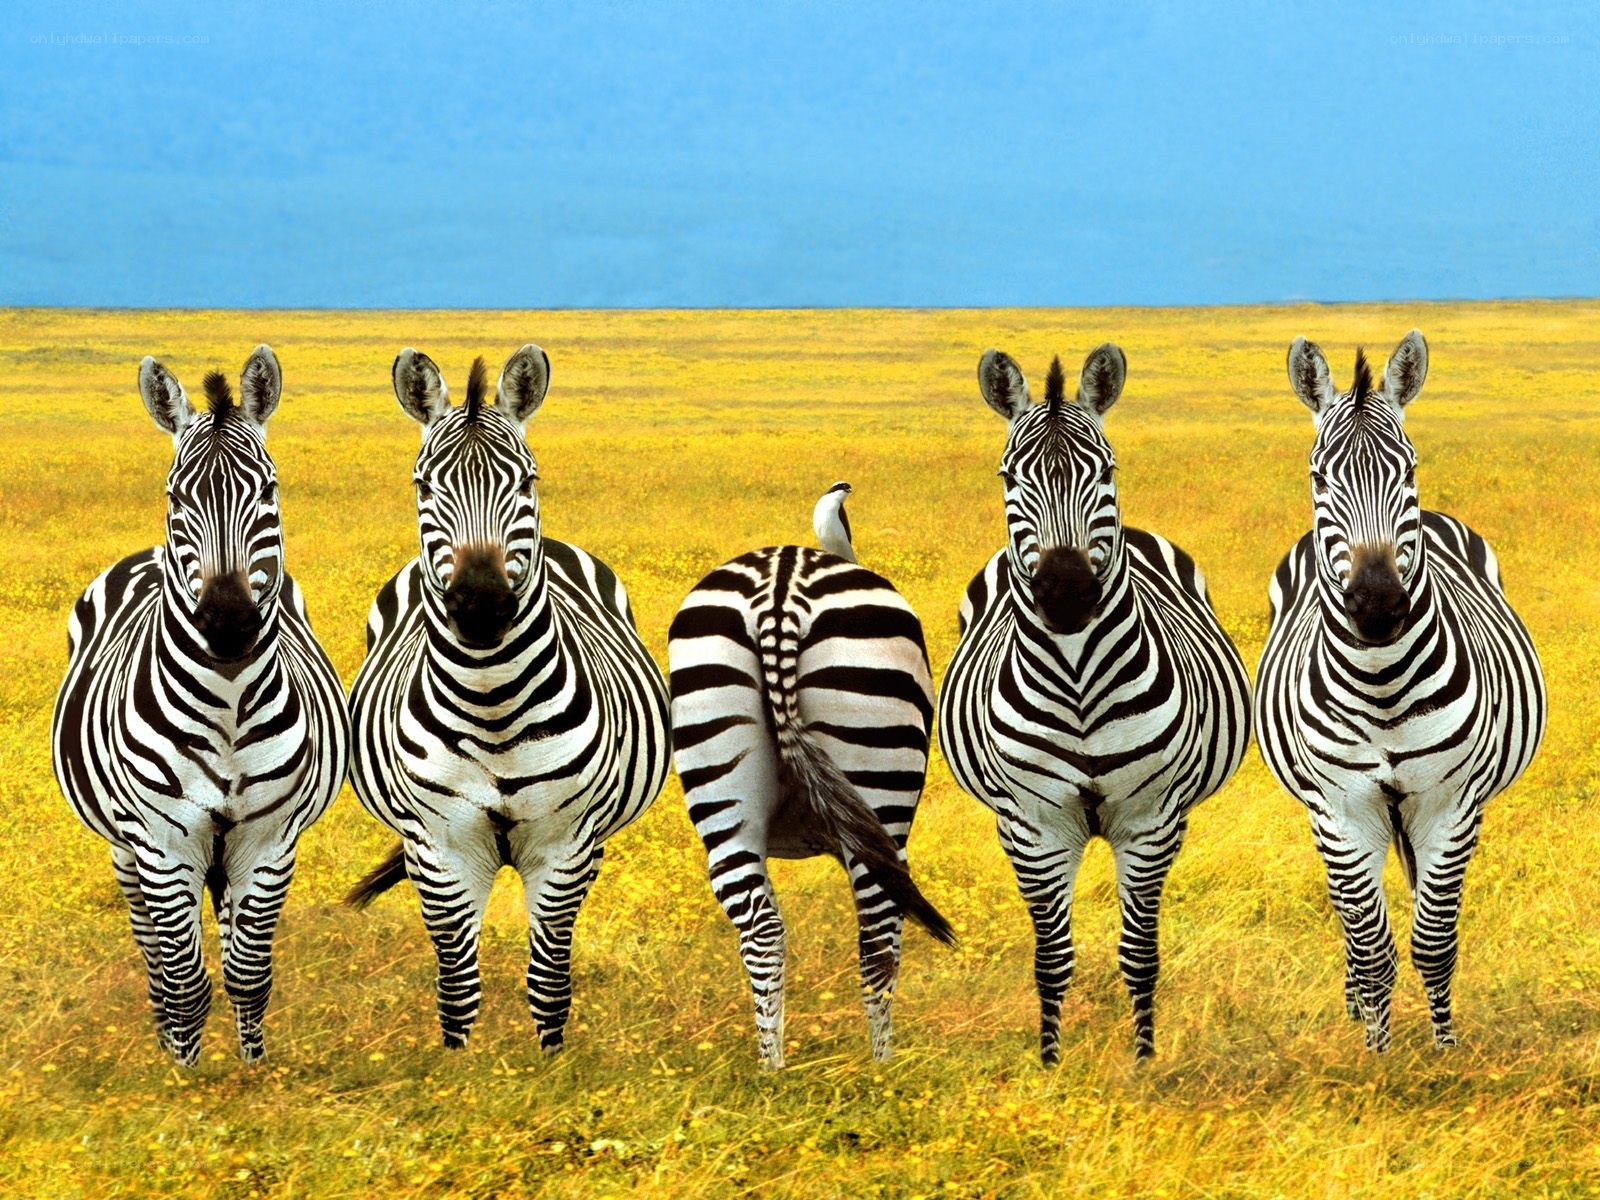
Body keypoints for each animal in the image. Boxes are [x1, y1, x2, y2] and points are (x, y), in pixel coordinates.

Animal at [51, 346, 349, 1066]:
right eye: (175, 497)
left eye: (269, 491)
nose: (228, 620)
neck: (228, 704)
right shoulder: (162, 840)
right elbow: (184, 979)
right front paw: (183, 1076)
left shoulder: (269, 839)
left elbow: (248, 970)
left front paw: (252, 1071)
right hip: (127, 849)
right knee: (153, 952)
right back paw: (164, 1037)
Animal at [344, 345, 671, 1053]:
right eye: (422, 487)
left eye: (527, 480)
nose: (482, 605)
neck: (493, 706)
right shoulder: (441, 846)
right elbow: (457, 985)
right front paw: (458, 1069)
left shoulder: (564, 845)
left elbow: (549, 979)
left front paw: (551, 1067)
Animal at [667, 480, 954, 1069]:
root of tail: (780, 586)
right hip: (881, 779)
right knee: (878, 935)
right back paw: (882, 1069)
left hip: (719, 774)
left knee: (762, 931)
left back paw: (772, 1070)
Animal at [939, 345, 1250, 1063]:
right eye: (1008, 477)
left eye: (1106, 470)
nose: (1066, 592)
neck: (1080, 681)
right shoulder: (1033, 826)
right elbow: (1052, 958)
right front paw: (1051, 1062)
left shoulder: (1151, 821)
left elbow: (1139, 954)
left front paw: (1143, 1061)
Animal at [1256, 330, 1546, 1052]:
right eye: (1319, 477)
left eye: (1408, 470)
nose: (1379, 604)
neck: (1382, 680)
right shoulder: (1342, 807)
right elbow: (1371, 945)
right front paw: (1377, 1054)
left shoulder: (1451, 804)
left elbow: (1433, 942)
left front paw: (1444, 1052)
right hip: (1324, 813)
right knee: (1349, 915)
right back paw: (1356, 1006)